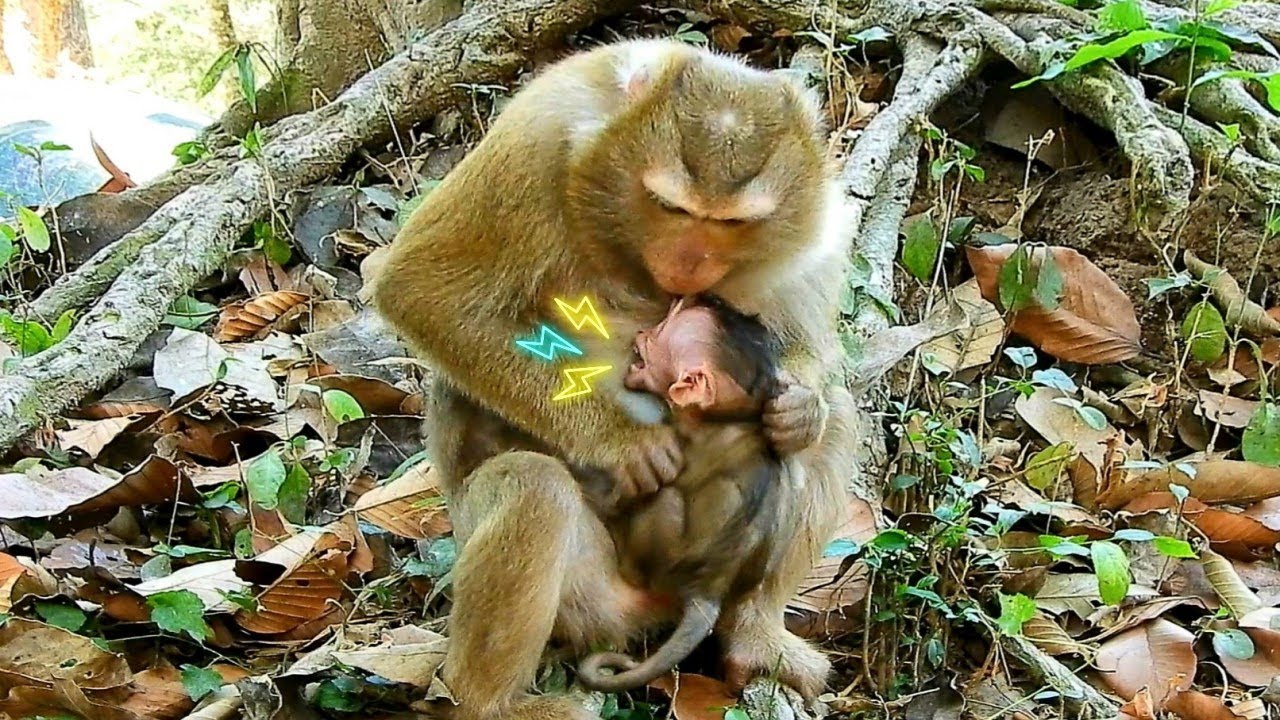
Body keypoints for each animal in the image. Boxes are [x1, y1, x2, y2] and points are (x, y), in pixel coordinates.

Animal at [576, 294, 799, 692]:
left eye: (660, 333)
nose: (642, 332)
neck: (727, 417)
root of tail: (708, 593)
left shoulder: (682, 437)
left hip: (663, 565)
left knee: (664, 499)